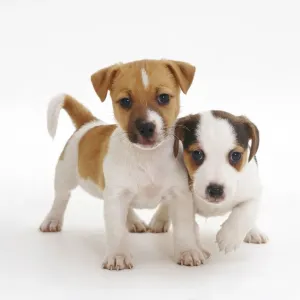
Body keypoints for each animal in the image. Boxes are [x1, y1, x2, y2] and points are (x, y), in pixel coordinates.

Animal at [39, 59, 206, 270]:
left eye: (163, 98)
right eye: (125, 101)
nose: (146, 127)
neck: (147, 157)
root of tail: (89, 123)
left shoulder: (180, 195)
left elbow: (184, 228)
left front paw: (187, 251)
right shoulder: (116, 196)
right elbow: (116, 230)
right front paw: (118, 255)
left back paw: (133, 221)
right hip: (65, 175)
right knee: (61, 198)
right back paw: (52, 220)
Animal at [151, 110, 268, 258]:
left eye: (235, 155)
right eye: (197, 154)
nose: (216, 190)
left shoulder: (253, 192)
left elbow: (245, 212)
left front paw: (229, 238)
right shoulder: (183, 201)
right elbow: (191, 228)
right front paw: (196, 250)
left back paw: (254, 232)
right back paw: (159, 219)